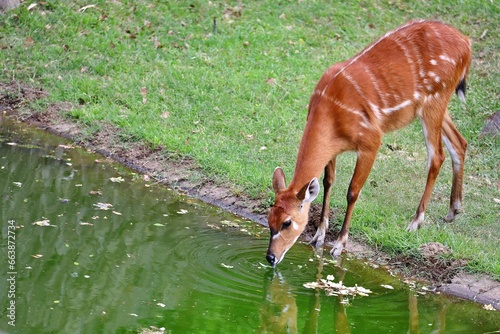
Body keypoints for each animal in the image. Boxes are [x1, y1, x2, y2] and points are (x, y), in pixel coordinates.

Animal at [268, 20, 470, 266]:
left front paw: (339, 245)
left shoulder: (371, 142)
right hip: (438, 105)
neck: (330, 111)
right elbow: (328, 182)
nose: (270, 257)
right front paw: (318, 236)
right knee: (460, 142)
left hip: (435, 101)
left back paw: (415, 222)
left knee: (437, 156)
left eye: (287, 222)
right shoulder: (333, 150)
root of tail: (466, 43)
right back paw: (453, 210)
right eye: (269, 219)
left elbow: (352, 191)